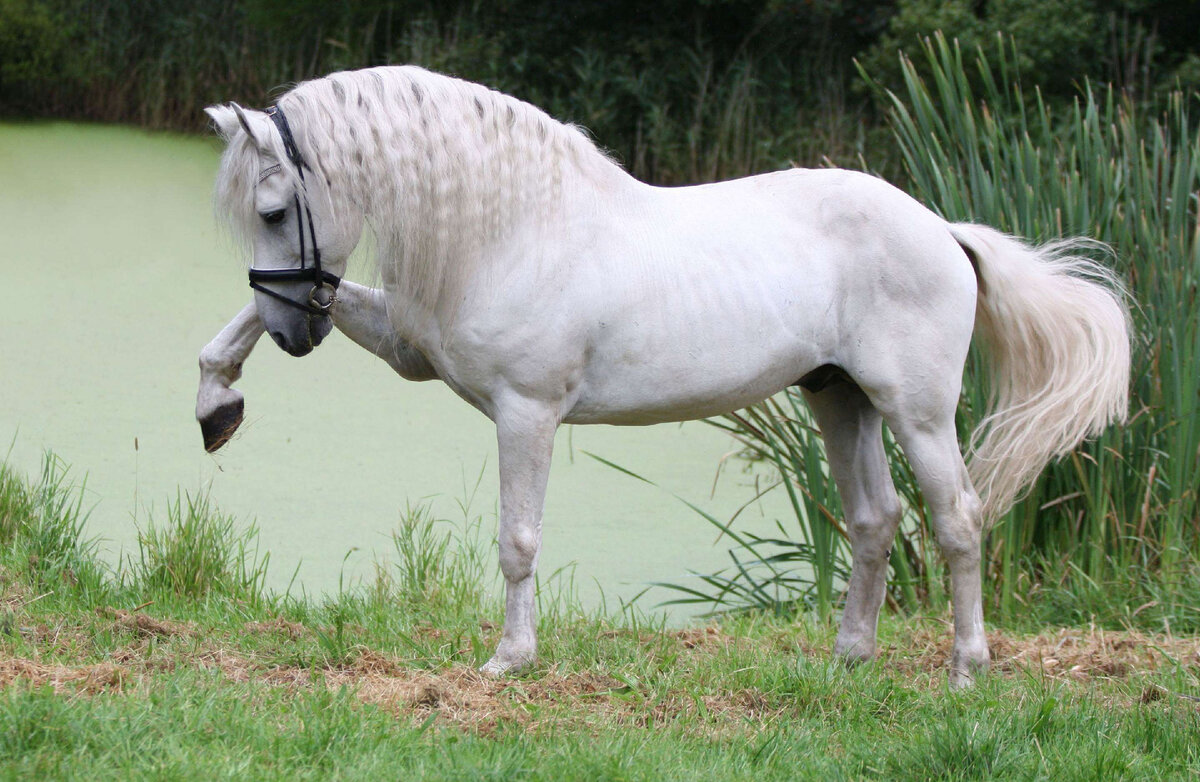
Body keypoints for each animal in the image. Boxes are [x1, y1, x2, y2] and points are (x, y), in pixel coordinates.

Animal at [196, 68, 1132, 690]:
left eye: (274, 210)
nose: (297, 332)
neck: (519, 226)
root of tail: (943, 229)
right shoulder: (410, 351)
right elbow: (238, 327)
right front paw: (217, 401)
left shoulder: (525, 412)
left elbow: (518, 540)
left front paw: (509, 660)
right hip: (841, 399)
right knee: (874, 520)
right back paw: (848, 659)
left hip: (918, 412)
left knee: (957, 522)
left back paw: (967, 670)